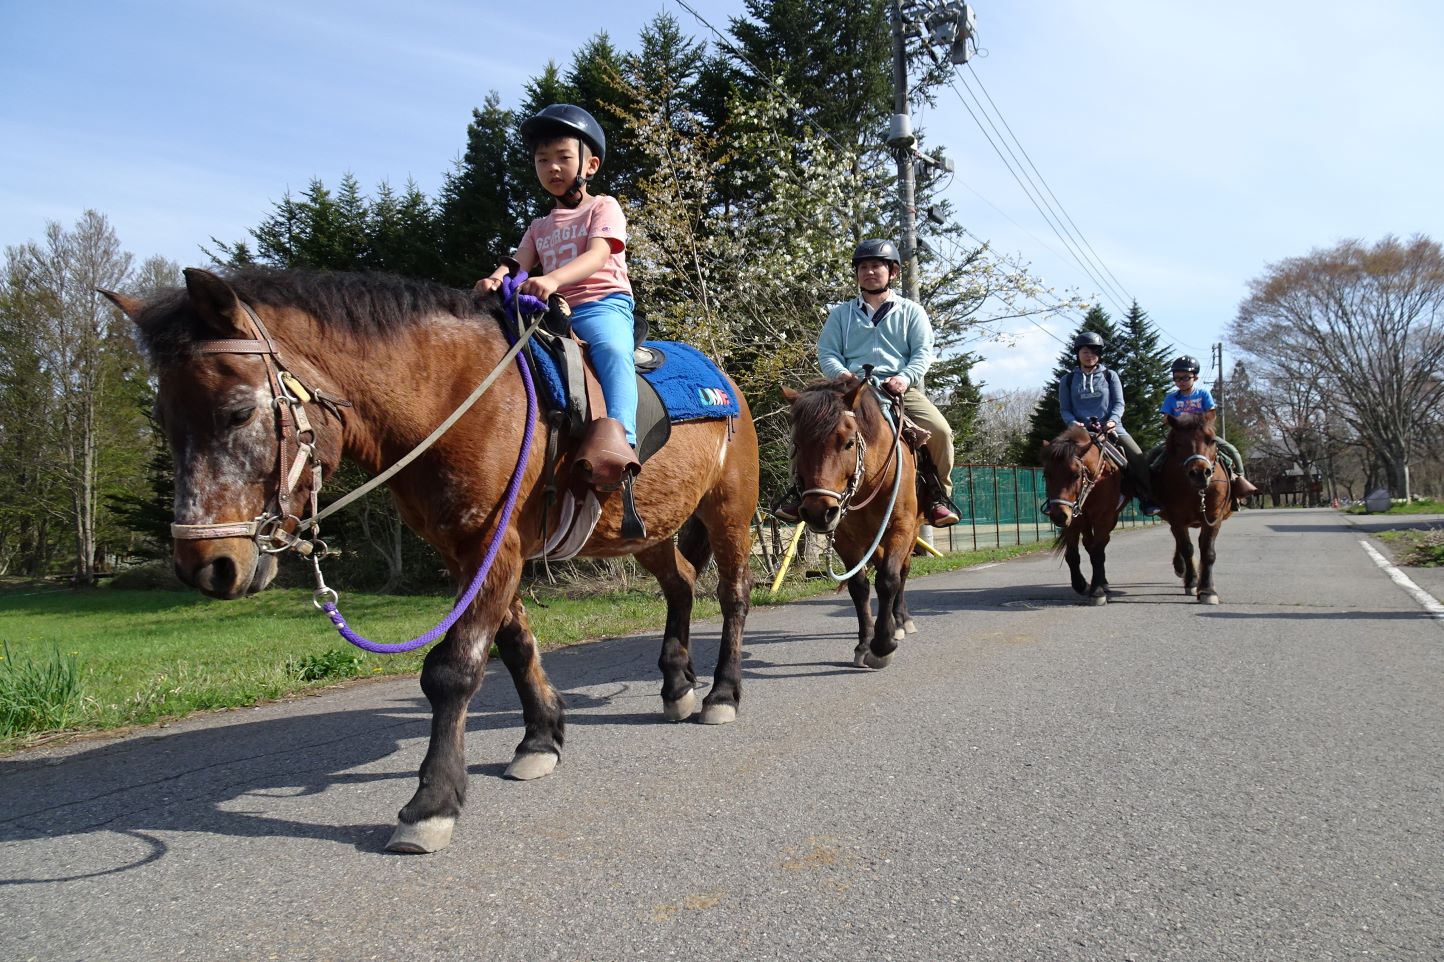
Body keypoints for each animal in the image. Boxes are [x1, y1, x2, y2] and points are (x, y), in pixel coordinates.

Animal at [785, 375, 918, 667]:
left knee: (902, 572)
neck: (869, 481)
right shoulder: (844, 537)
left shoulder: (901, 526)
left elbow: (888, 580)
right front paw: (865, 643)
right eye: (797, 445)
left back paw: (902, 621)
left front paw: (882, 646)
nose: (818, 511)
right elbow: (859, 586)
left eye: (848, 443)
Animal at [1039, 418, 1126, 600]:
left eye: (1076, 475)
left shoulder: (1103, 518)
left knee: (1100, 546)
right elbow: (1073, 555)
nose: (1058, 516)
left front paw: (1097, 590)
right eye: (1046, 474)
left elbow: (1098, 553)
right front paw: (1081, 584)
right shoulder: (1073, 519)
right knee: (1089, 544)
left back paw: (1102, 583)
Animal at [1155, 407, 1236, 603]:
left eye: (1212, 439)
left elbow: (1207, 551)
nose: (1200, 473)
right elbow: (1187, 548)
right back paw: (1181, 568)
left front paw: (1207, 590)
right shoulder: (1177, 519)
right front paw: (1192, 582)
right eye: (1178, 442)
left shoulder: (1213, 518)